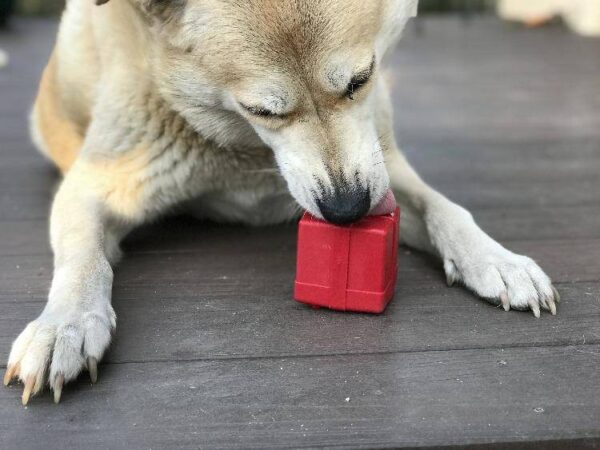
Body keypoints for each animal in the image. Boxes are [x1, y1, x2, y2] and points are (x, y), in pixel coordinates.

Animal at [2, 0, 560, 406]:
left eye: (361, 79)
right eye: (264, 110)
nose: (347, 211)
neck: (247, 149)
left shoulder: (384, 167)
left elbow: (444, 208)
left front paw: (496, 260)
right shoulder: (94, 185)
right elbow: (84, 258)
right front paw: (65, 325)